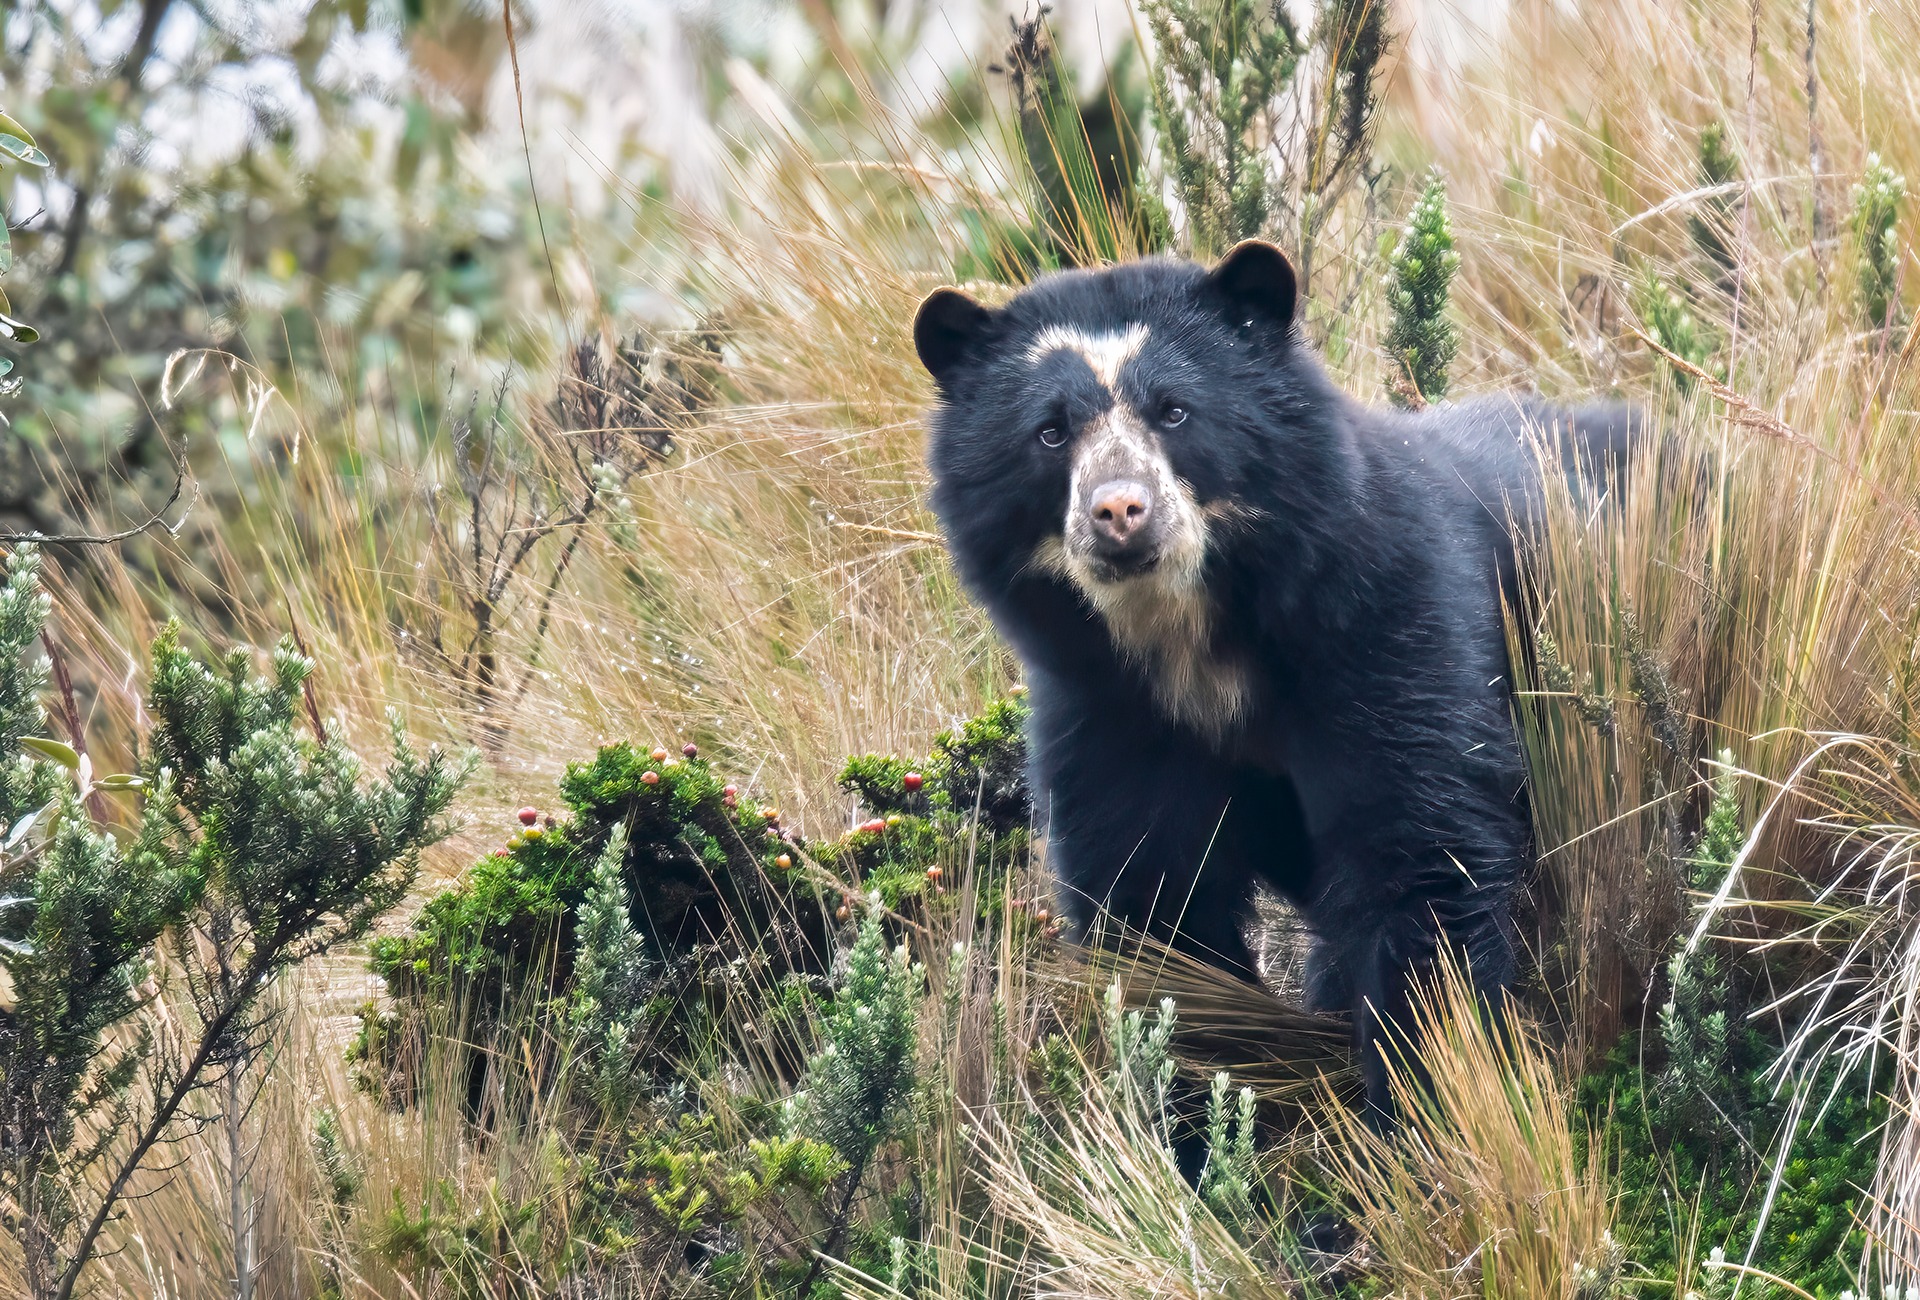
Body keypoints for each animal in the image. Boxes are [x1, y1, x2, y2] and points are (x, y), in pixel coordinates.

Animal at [911, 240, 1637, 1114]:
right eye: (1050, 433)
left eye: (1175, 411)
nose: (1119, 513)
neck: (1194, 639)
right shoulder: (1110, 707)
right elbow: (1155, 908)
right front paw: (1195, 1127)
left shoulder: (1387, 624)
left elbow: (1419, 858)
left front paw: (1428, 1110)